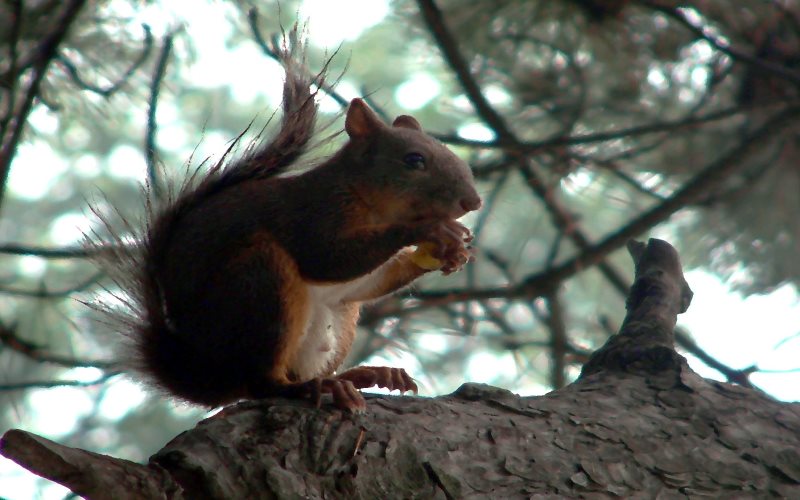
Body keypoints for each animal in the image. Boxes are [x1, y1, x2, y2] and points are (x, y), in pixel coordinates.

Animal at [92, 33, 482, 412]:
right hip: (260, 286)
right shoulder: (312, 214)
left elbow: (369, 281)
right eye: (414, 160)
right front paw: (428, 231)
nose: (473, 202)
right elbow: (327, 258)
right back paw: (312, 386)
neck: (372, 204)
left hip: (338, 320)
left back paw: (362, 375)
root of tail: (207, 375)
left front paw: (453, 253)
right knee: (262, 384)